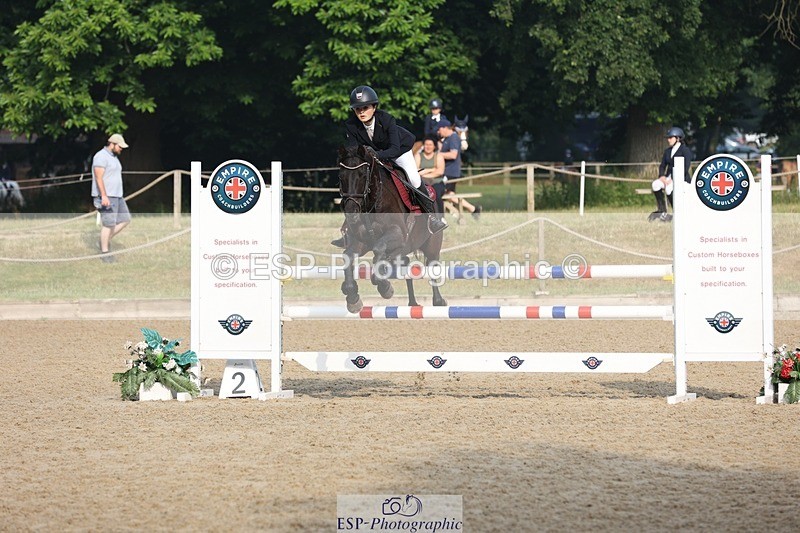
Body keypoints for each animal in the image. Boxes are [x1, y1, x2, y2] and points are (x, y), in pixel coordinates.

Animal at [337, 144, 447, 313]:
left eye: (362, 175)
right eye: (341, 176)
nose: (351, 212)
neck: (373, 203)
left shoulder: (398, 234)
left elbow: (379, 249)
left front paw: (384, 286)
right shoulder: (361, 241)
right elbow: (348, 255)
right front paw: (352, 296)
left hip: (432, 246)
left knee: (432, 267)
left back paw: (439, 301)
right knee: (404, 266)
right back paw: (413, 303)